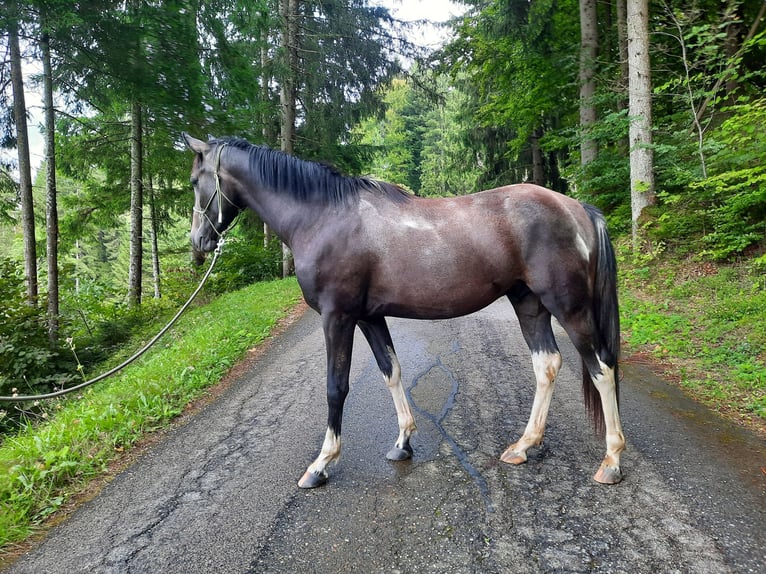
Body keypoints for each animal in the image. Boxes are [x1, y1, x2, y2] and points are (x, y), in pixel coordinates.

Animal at [181, 133, 626, 489]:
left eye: (194, 181)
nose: (199, 242)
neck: (323, 217)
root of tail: (578, 208)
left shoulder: (337, 317)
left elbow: (335, 387)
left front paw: (321, 464)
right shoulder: (368, 317)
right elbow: (390, 371)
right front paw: (403, 442)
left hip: (568, 307)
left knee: (601, 368)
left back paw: (611, 461)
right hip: (529, 303)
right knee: (547, 365)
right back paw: (524, 446)